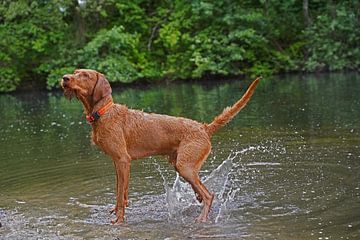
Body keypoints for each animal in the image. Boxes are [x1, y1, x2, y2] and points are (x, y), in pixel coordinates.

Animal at [61, 69, 258, 223]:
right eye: (75, 71)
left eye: (85, 75)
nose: (64, 78)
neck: (103, 112)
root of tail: (204, 127)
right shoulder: (117, 163)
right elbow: (120, 192)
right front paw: (117, 212)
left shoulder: (123, 160)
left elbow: (120, 195)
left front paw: (119, 220)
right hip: (182, 165)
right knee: (203, 191)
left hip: (184, 166)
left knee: (209, 195)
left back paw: (202, 218)